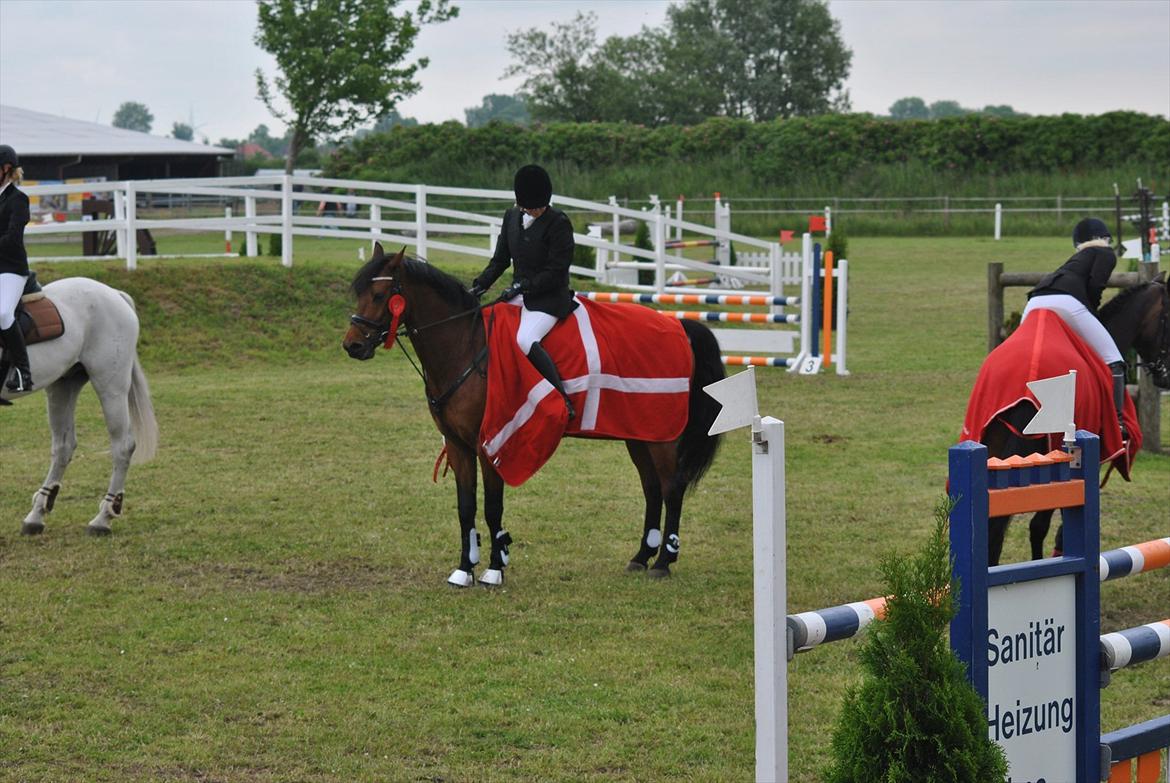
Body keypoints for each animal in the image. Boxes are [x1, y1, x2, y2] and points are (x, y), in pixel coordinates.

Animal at [1, 276, 159, 538]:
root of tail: (114, 293)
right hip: (63, 385)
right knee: (63, 446)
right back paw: (36, 515)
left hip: (110, 386)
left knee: (123, 446)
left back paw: (102, 519)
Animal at [341, 244, 720, 585]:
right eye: (359, 293)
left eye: (380, 294)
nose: (352, 345)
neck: (465, 346)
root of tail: (679, 326)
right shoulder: (458, 445)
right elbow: (466, 508)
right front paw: (464, 569)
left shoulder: (490, 443)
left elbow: (492, 507)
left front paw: (495, 568)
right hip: (640, 432)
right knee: (652, 488)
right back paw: (641, 557)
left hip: (663, 436)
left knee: (672, 488)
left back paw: (664, 562)